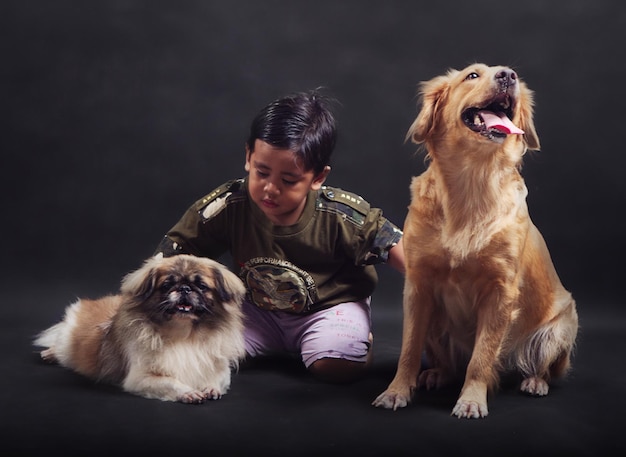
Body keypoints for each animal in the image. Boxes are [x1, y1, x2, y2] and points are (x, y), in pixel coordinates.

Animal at [33, 253, 245, 402]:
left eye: (201, 286)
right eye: (167, 285)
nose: (184, 288)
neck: (183, 334)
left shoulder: (219, 367)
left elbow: (218, 379)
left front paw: (210, 388)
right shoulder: (140, 378)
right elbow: (170, 382)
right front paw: (188, 392)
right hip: (69, 341)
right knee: (60, 346)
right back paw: (49, 354)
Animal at [372, 63, 576, 416]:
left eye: (512, 75)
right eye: (472, 76)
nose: (508, 75)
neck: (472, 182)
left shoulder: (500, 291)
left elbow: (481, 358)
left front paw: (471, 400)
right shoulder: (418, 285)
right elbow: (408, 348)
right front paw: (396, 391)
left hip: (562, 324)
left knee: (542, 367)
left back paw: (535, 382)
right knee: (448, 363)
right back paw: (437, 374)